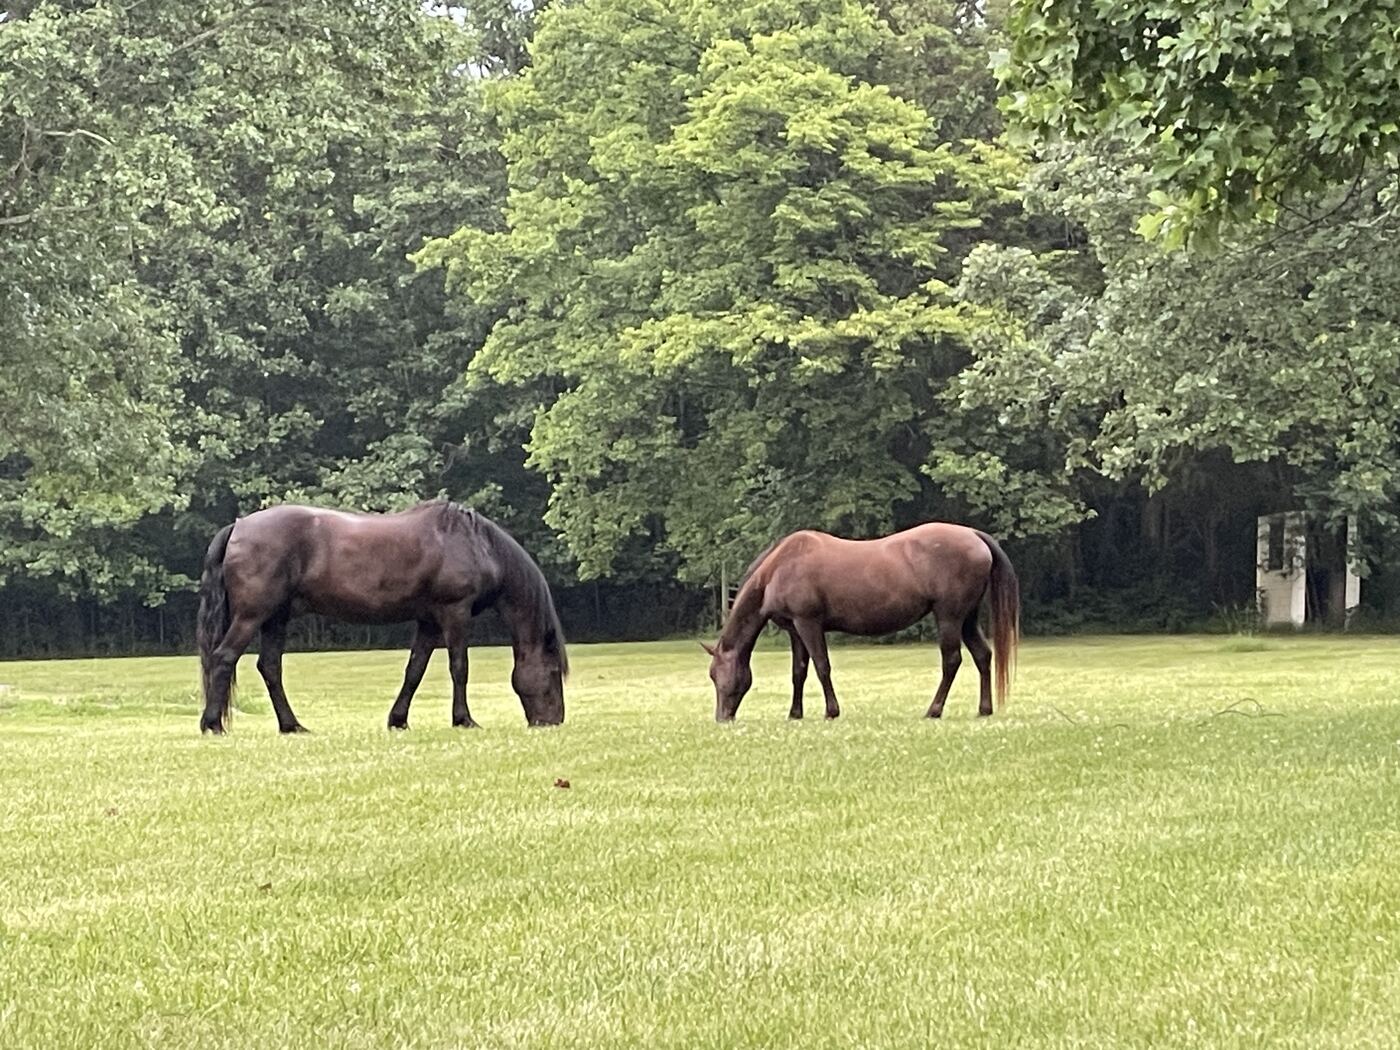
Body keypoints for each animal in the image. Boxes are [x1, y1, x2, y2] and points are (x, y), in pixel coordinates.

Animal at [195, 500, 568, 734]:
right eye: (553, 673)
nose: (553, 721)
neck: (475, 544)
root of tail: (238, 527)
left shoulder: (429, 621)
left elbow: (415, 671)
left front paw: (398, 720)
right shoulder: (455, 612)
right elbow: (459, 668)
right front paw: (464, 720)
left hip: (276, 618)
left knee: (270, 667)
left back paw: (292, 726)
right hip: (252, 615)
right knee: (224, 657)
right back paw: (212, 724)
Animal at [702, 523, 1019, 722]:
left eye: (717, 675)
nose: (722, 718)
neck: (780, 568)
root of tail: (974, 535)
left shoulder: (808, 624)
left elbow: (822, 667)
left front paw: (831, 711)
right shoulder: (795, 630)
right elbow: (798, 672)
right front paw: (795, 714)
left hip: (949, 617)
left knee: (951, 661)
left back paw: (934, 710)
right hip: (967, 618)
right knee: (982, 655)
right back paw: (984, 709)